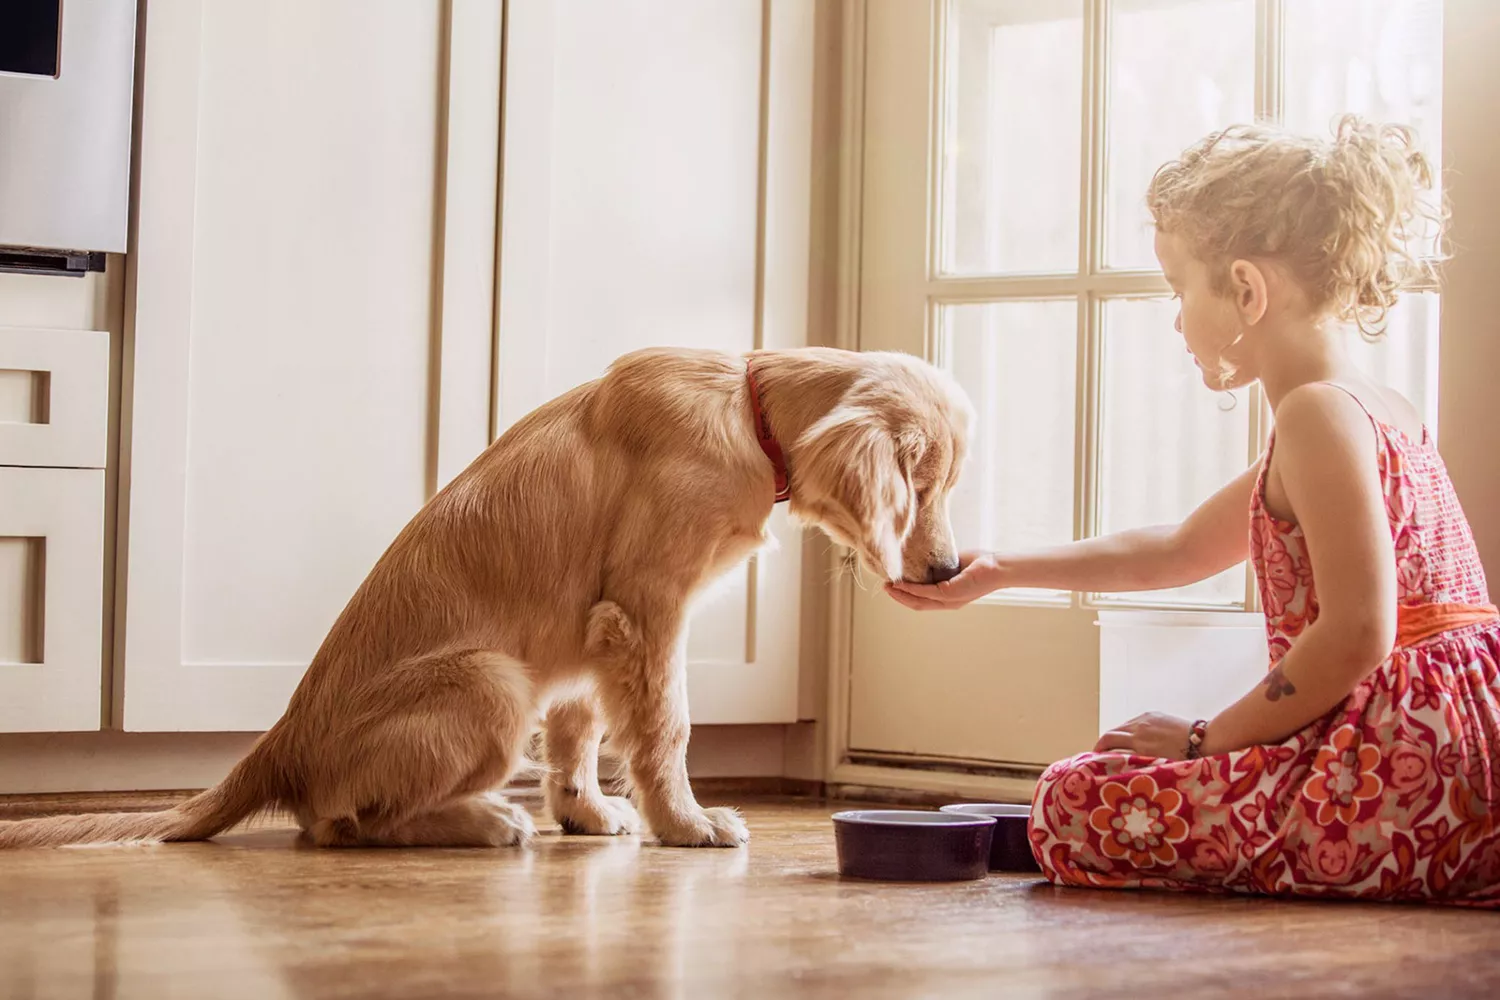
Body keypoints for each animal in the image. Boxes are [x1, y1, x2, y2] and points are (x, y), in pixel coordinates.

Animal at [0, 347, 972, 851]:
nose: (948, 570)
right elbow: (665, 729)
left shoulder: (591, 633)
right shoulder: (647, 610)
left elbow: (579, 732)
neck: (747, 407)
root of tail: (280, 745)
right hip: (494, 682)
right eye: (921, 487)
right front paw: (687, 823)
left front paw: (585, 813)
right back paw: (486, 820)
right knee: (342, 824)